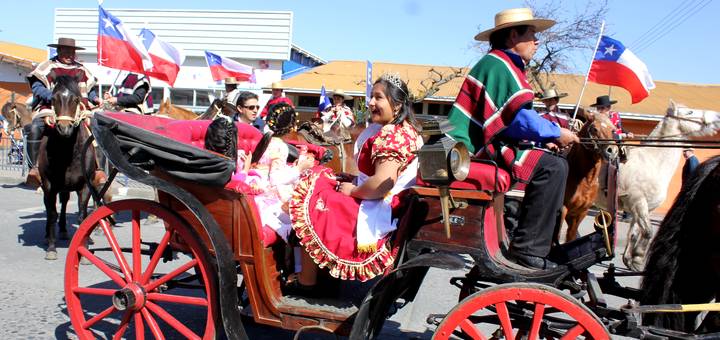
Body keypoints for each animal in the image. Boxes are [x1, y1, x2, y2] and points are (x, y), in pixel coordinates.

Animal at [37, 75, 98, 260]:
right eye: (53, 99)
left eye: (76, 99)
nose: (64, 128)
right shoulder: (49, 185)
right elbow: (51, 214)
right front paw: (51, 248)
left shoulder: (85, 186)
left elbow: (83, 216)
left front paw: (84, 250)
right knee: (51, 207)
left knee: (64, 202)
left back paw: (66, 231)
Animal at [596, 100, 720, 270]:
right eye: (689, 112)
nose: (717, 116)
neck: (652, 161)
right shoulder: (638, 202)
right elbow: (648, 231)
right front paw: (638, 258)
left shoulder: (641, 208)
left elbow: (634, 233)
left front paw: (629, 260)